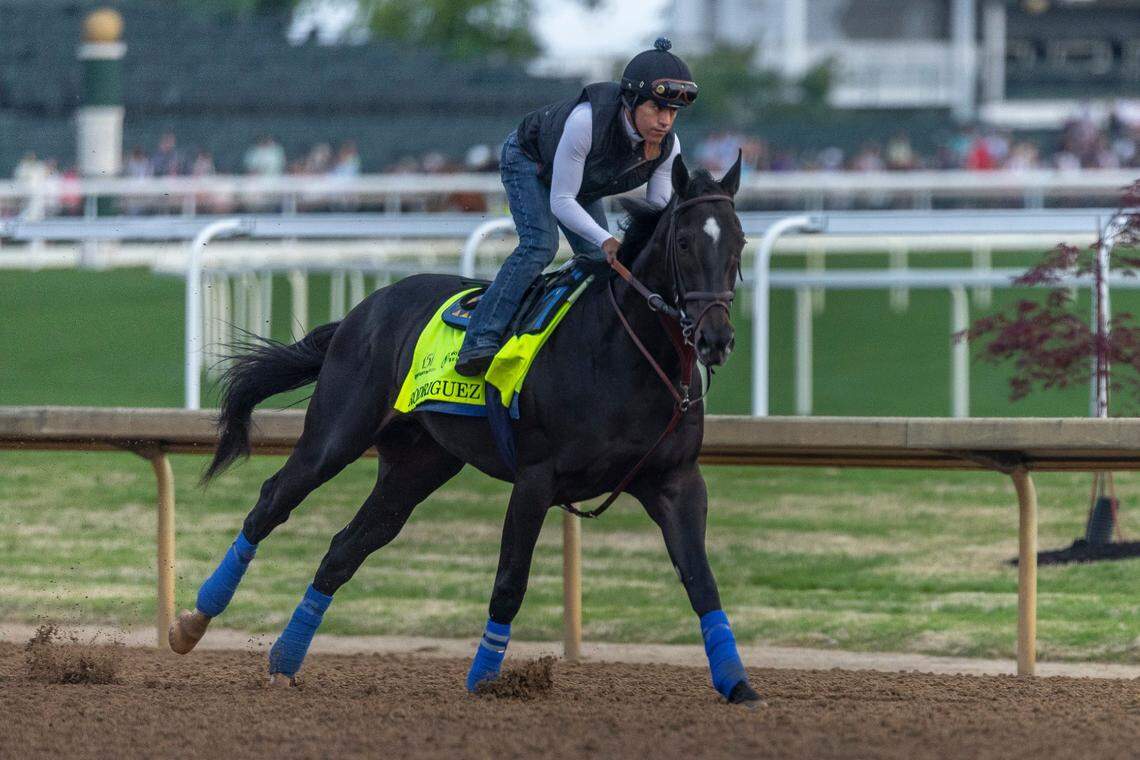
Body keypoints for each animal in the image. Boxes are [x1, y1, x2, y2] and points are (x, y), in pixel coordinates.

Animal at [170, 153, 760, 705]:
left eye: (740, 240)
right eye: (683, 242)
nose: (715, 338)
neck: (623, 355)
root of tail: (363, 311)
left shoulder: (675, 481)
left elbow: (702, 583)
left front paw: (737, 683)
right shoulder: (537, 478)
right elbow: (510, 582)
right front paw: (486, 680)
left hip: (419, 464)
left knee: (345, 548)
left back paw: (284, 660)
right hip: (337, 433)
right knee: (272, 502)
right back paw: (191, 624)